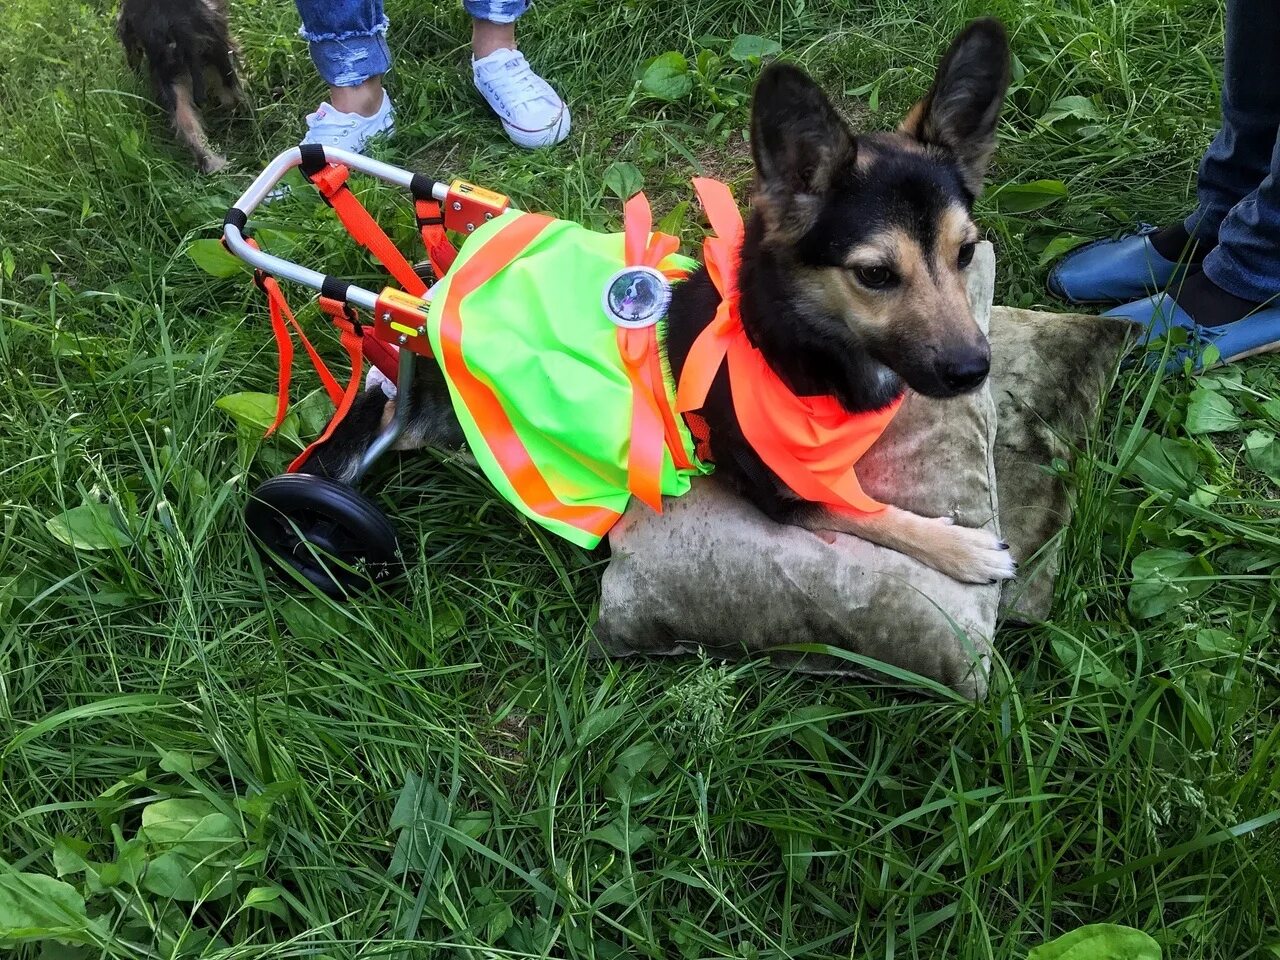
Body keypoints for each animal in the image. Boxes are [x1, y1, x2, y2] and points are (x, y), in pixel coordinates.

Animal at [117, 0, 244, 174]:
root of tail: (175, 26)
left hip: (172, 80)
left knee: (186, 121)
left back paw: (212, 164)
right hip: (219, 54)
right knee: (230, 93)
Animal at [294, 16, 1013, 586]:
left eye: (966, 253)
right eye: (875, 274)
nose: (973, 370)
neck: (785, 334)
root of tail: (408, 332)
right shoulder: (780, 492)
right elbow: (875, 514)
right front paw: (963, 548)